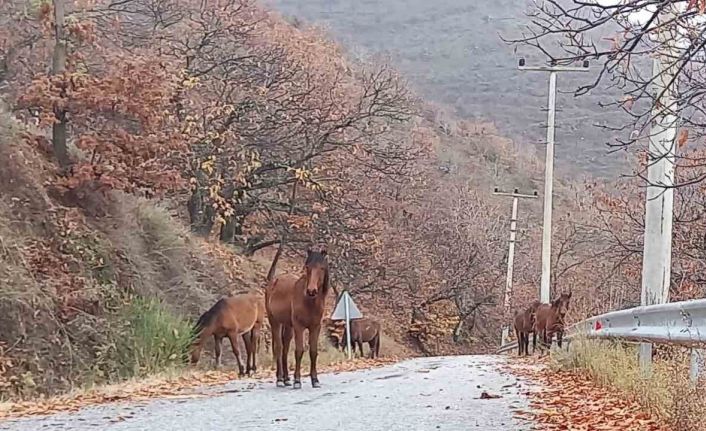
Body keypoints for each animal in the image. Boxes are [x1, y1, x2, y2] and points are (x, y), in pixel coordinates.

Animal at [266, 248, 330, 390]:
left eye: (322, 268)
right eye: (307, 267)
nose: (311, 291)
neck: (309, 301)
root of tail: (274, 281)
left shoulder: (315, 327)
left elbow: (313, 351)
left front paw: (315, 380)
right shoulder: (299, 327)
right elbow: (299, 351)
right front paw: (297, 381)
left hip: (288, 326)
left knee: (285, 349)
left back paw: (286, 379)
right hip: (275, 322)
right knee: (279, 348)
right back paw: (280, 379)